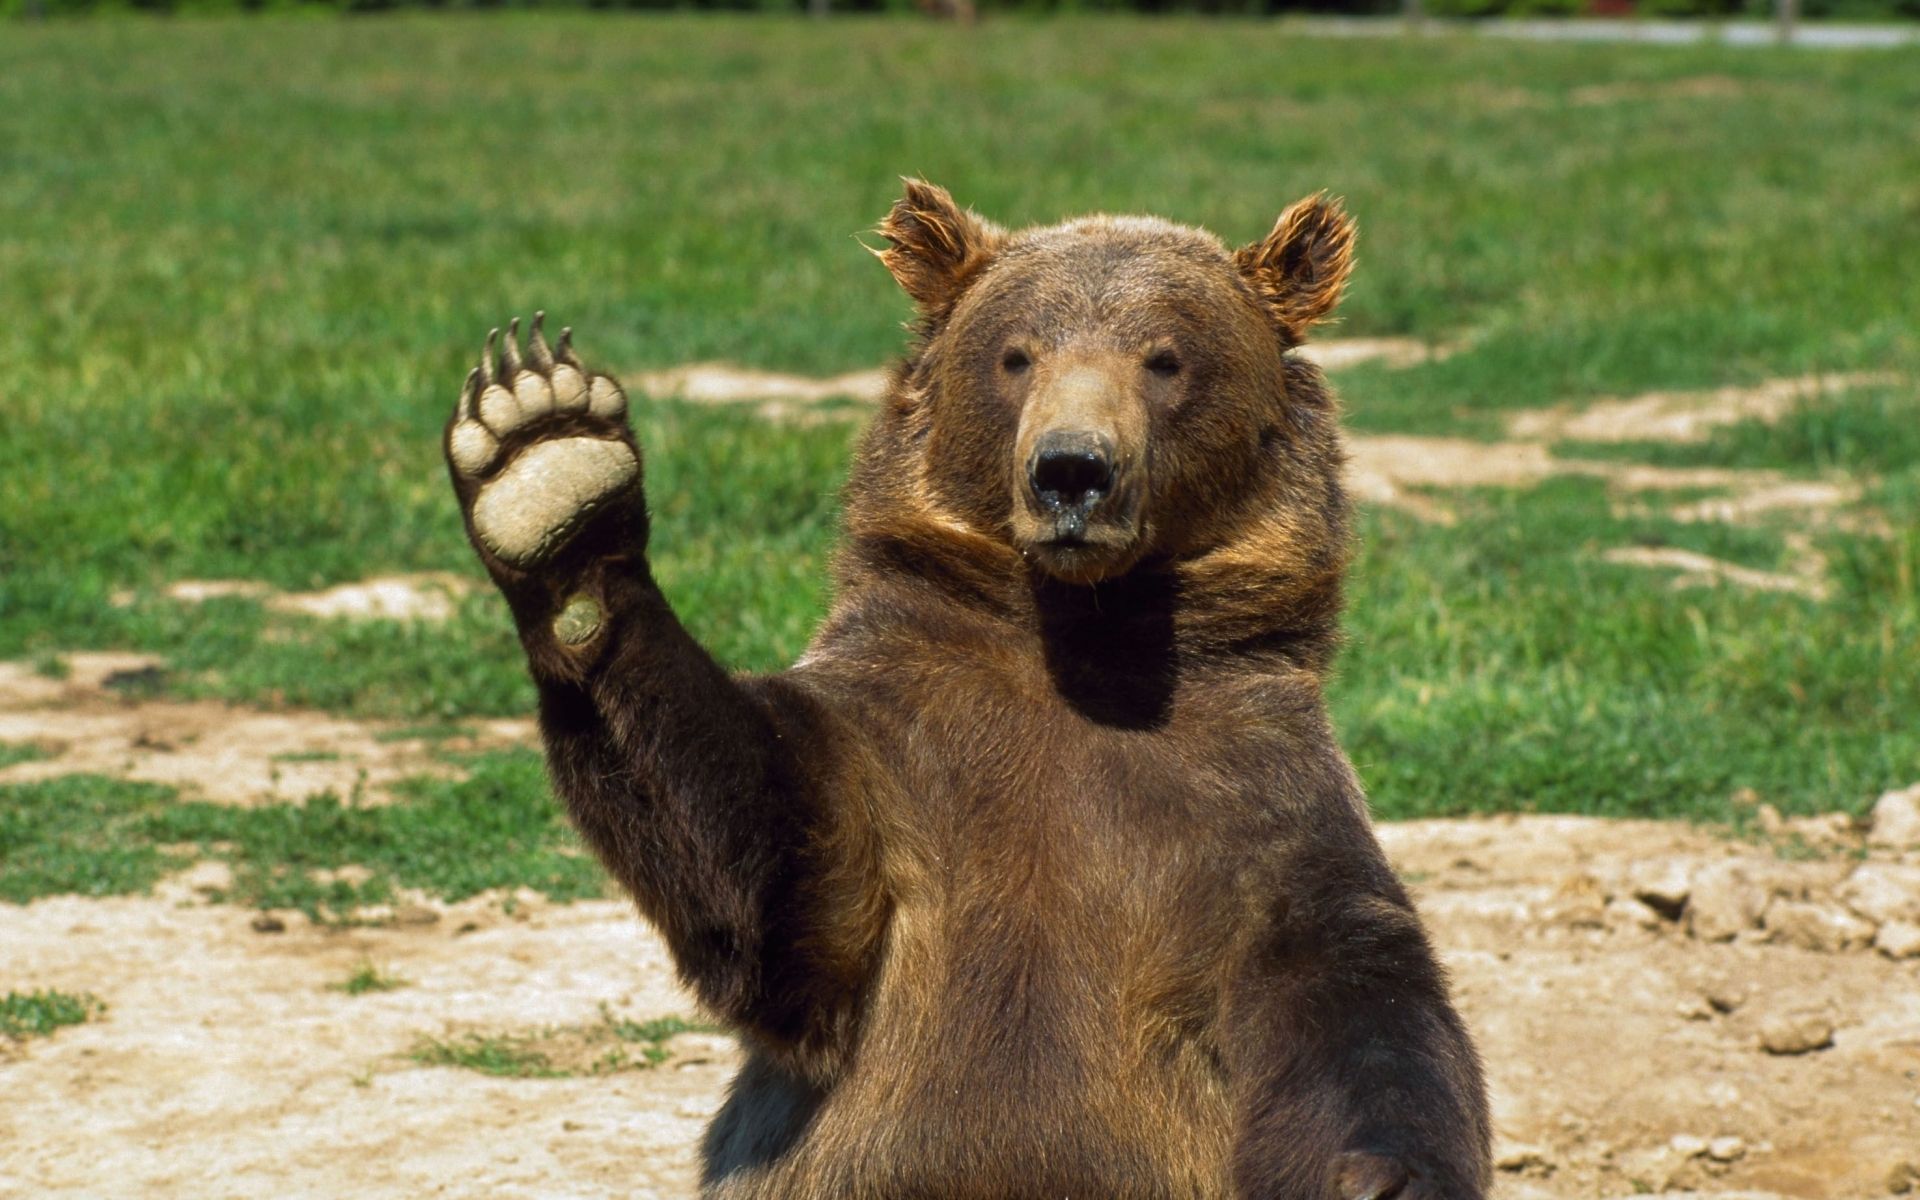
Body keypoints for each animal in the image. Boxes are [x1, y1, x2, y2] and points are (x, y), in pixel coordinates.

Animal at [441, 180, 1489, 1198]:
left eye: (1166, 358)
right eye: (1015, 353)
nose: (1072, 470)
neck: (1084, 643)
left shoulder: (1251, 797)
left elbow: (1355, 991)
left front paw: (1382, 1176)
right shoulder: (902, 751)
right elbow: (766, 874)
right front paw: (548, 466)